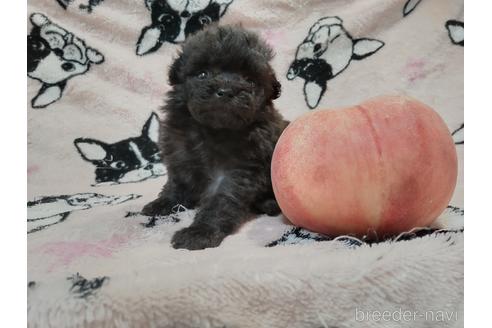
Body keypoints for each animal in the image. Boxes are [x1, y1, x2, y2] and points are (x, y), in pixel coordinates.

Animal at [142, 25, 288, 250]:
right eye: (203, 74)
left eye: (249, 80)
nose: (226, 91)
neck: (213, 129)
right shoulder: (180, 153)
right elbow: (176, 183)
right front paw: (163, 203)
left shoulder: (237, 170)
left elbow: (220, 201)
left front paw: (200, 232)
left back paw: (269, 204)